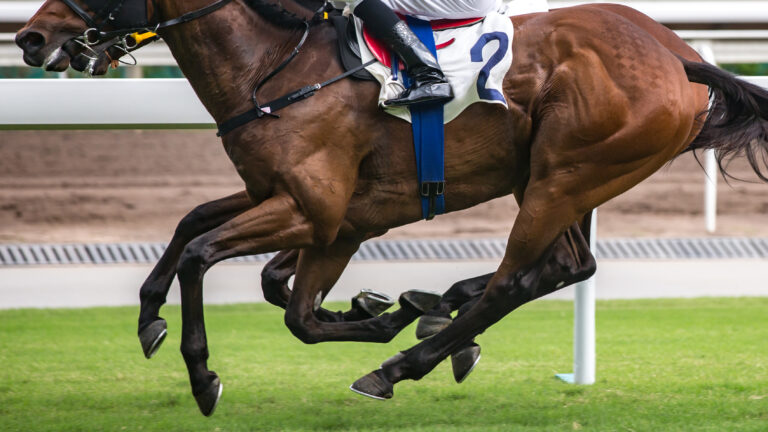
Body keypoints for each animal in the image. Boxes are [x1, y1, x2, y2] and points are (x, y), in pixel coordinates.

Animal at [17, 0, 768, 416]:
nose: (30, 38)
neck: (280, 66)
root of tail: (676, 53)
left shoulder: (317, 213)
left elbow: (211, 259)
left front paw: (203, 375)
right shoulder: (304, 206)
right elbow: (202, 231)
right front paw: (150, 315)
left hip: (566, 175)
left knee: (518, 280)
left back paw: (403, 361)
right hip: (557, 178)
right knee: (565, 266)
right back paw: (434, 313)